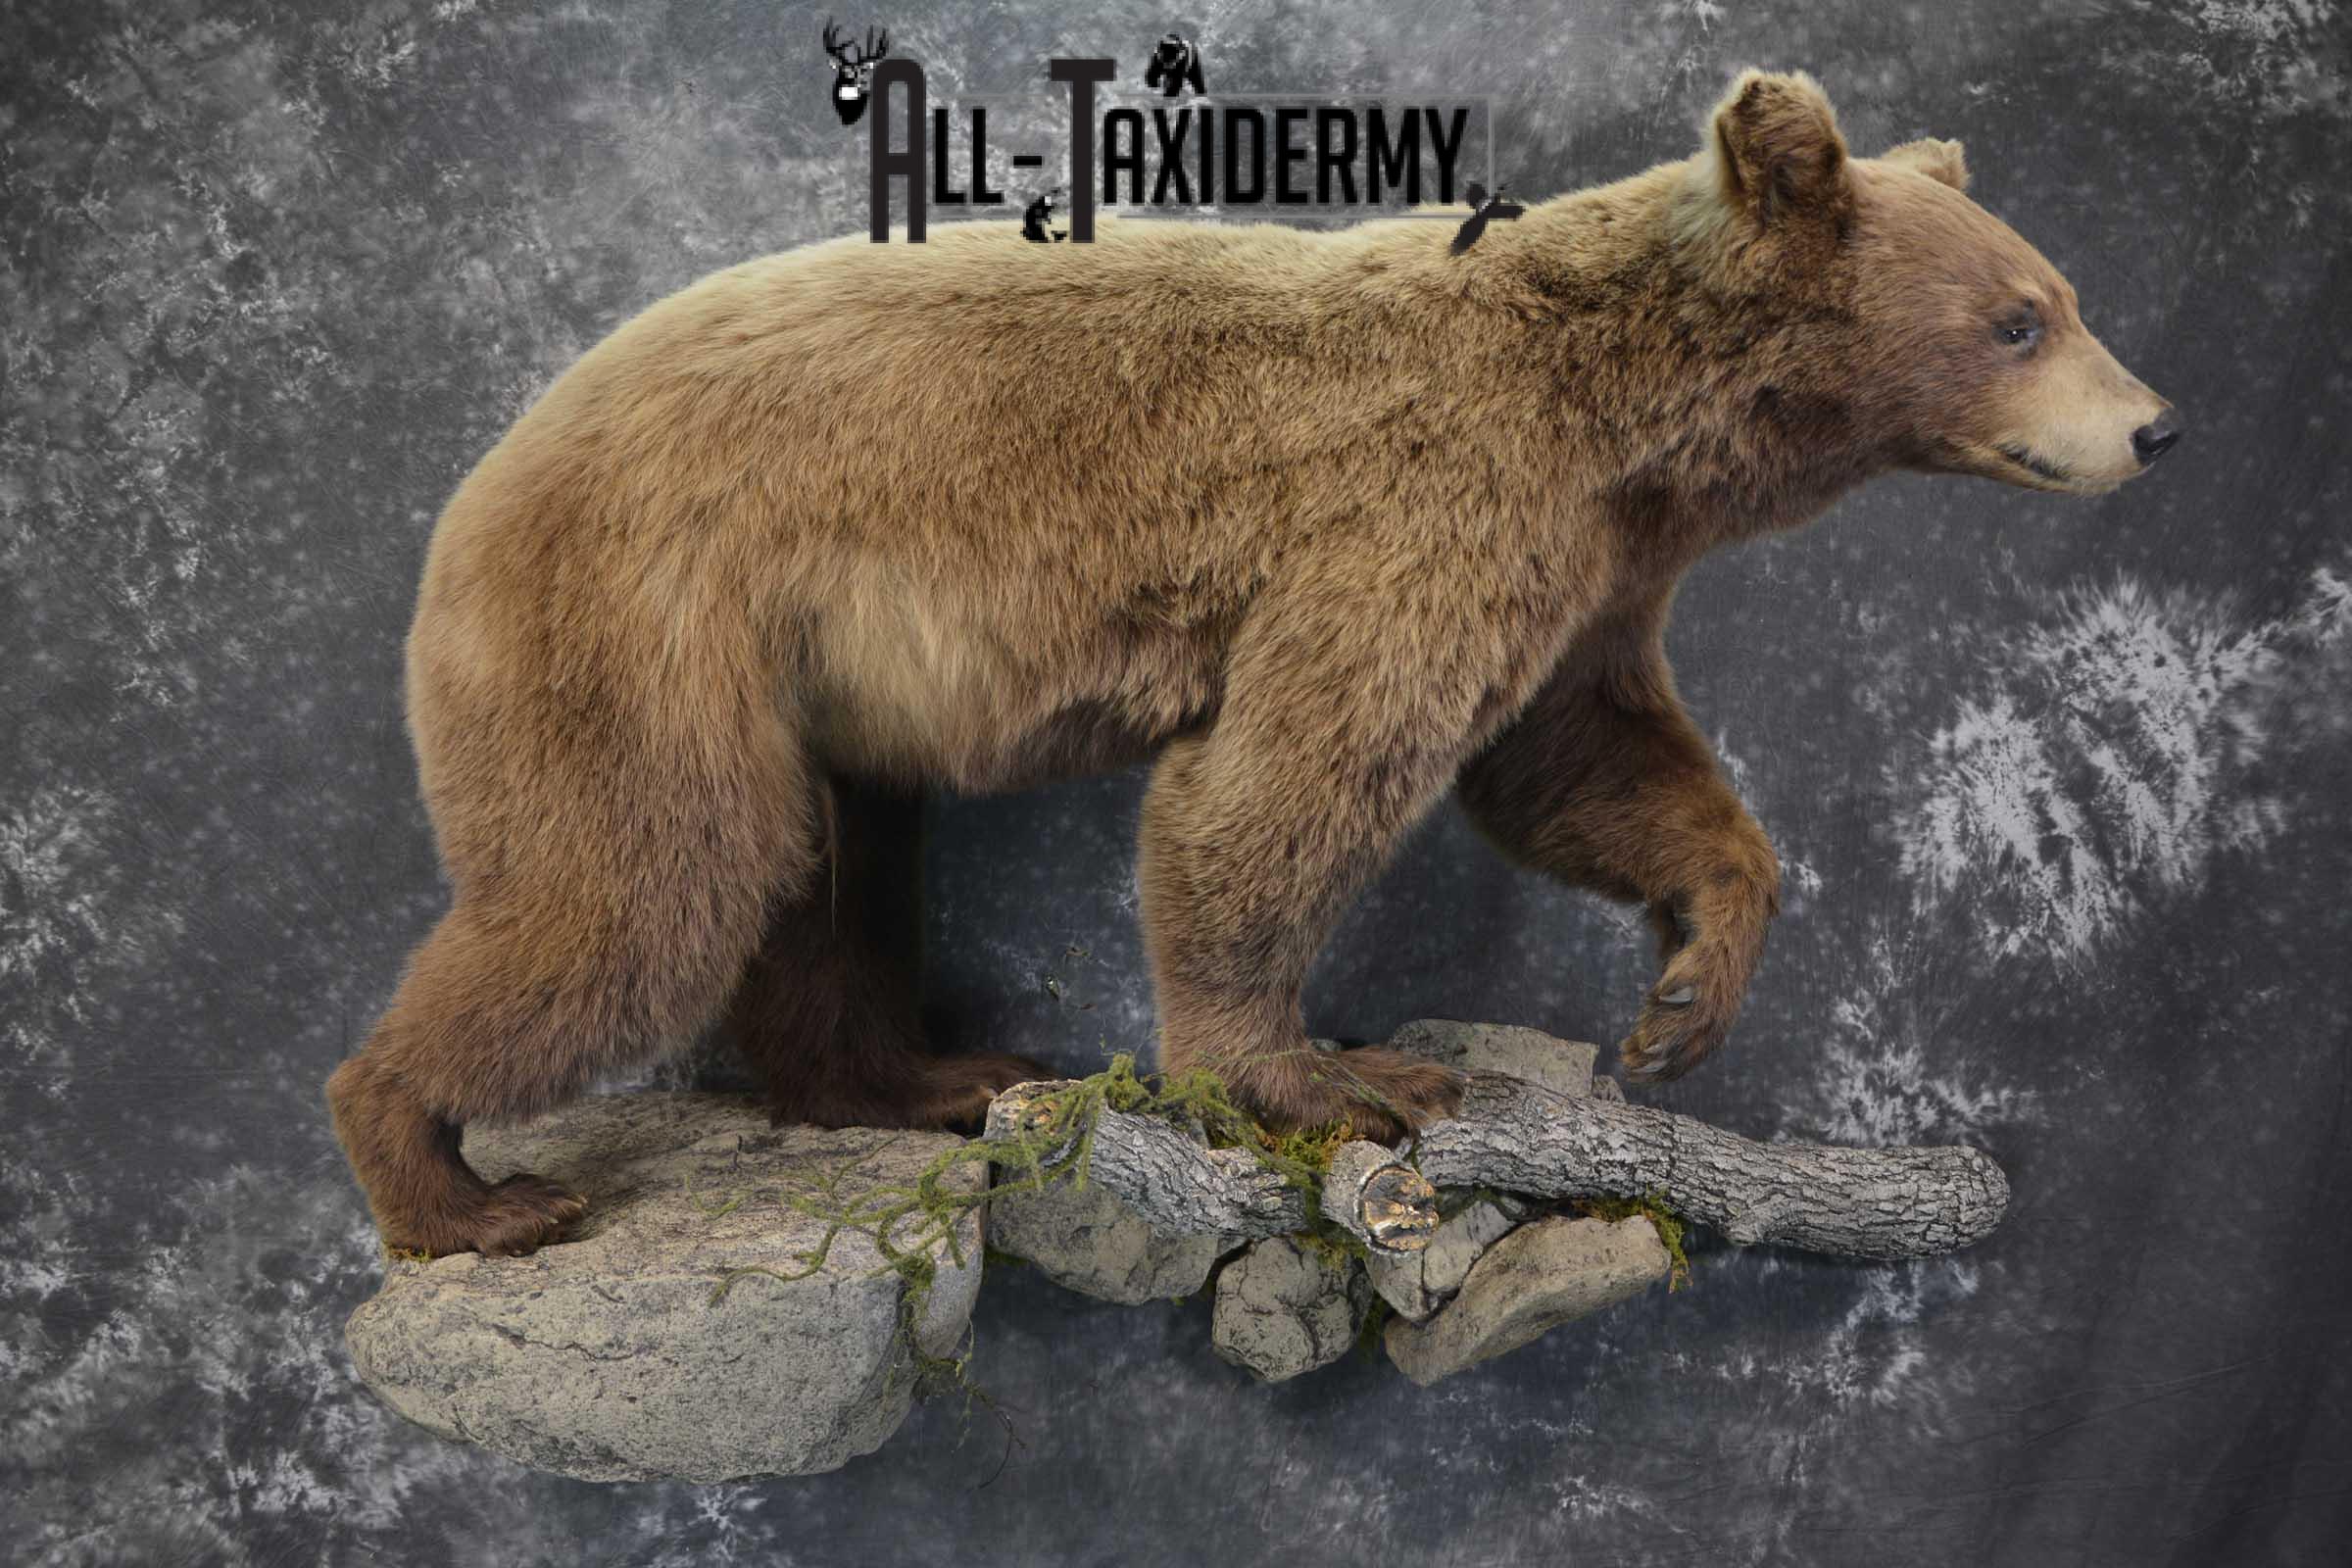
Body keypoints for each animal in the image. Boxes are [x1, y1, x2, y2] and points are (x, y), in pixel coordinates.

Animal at [327, 70, 2179, 1256]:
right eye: (2021, 318)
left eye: (2064, 292)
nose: (2156, 424)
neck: (1628, 426)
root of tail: (471, 491)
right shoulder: (1425, 507)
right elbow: (1289, 781)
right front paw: (1334, 1074)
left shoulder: (1586, 568)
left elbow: (1586, 756)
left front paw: (1682, 999)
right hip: (646, 619)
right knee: (644, 890)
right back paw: (454, 1179)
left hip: (794, 685)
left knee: (817, 873)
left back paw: (928, 1074)